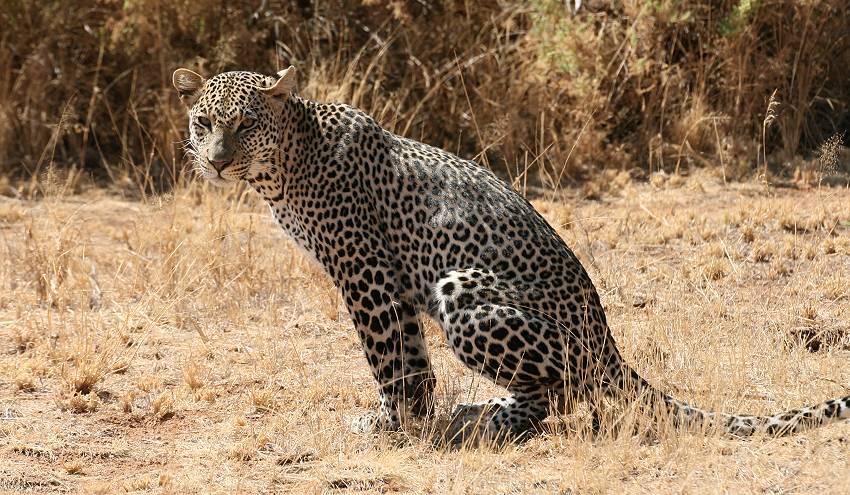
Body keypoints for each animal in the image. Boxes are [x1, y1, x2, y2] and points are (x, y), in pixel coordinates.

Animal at [171, 67, 848, 446]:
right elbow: (411, 357)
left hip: (463, 288)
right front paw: (414, 416)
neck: (285, 166)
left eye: (246, 123)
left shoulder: (365, 272)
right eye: (204, 122)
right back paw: (475, 414)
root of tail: (609, 345)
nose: (217, 162)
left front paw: (389, 423)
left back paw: (487, 420)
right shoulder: (391, 282)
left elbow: (387, 357)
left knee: (561, 393)